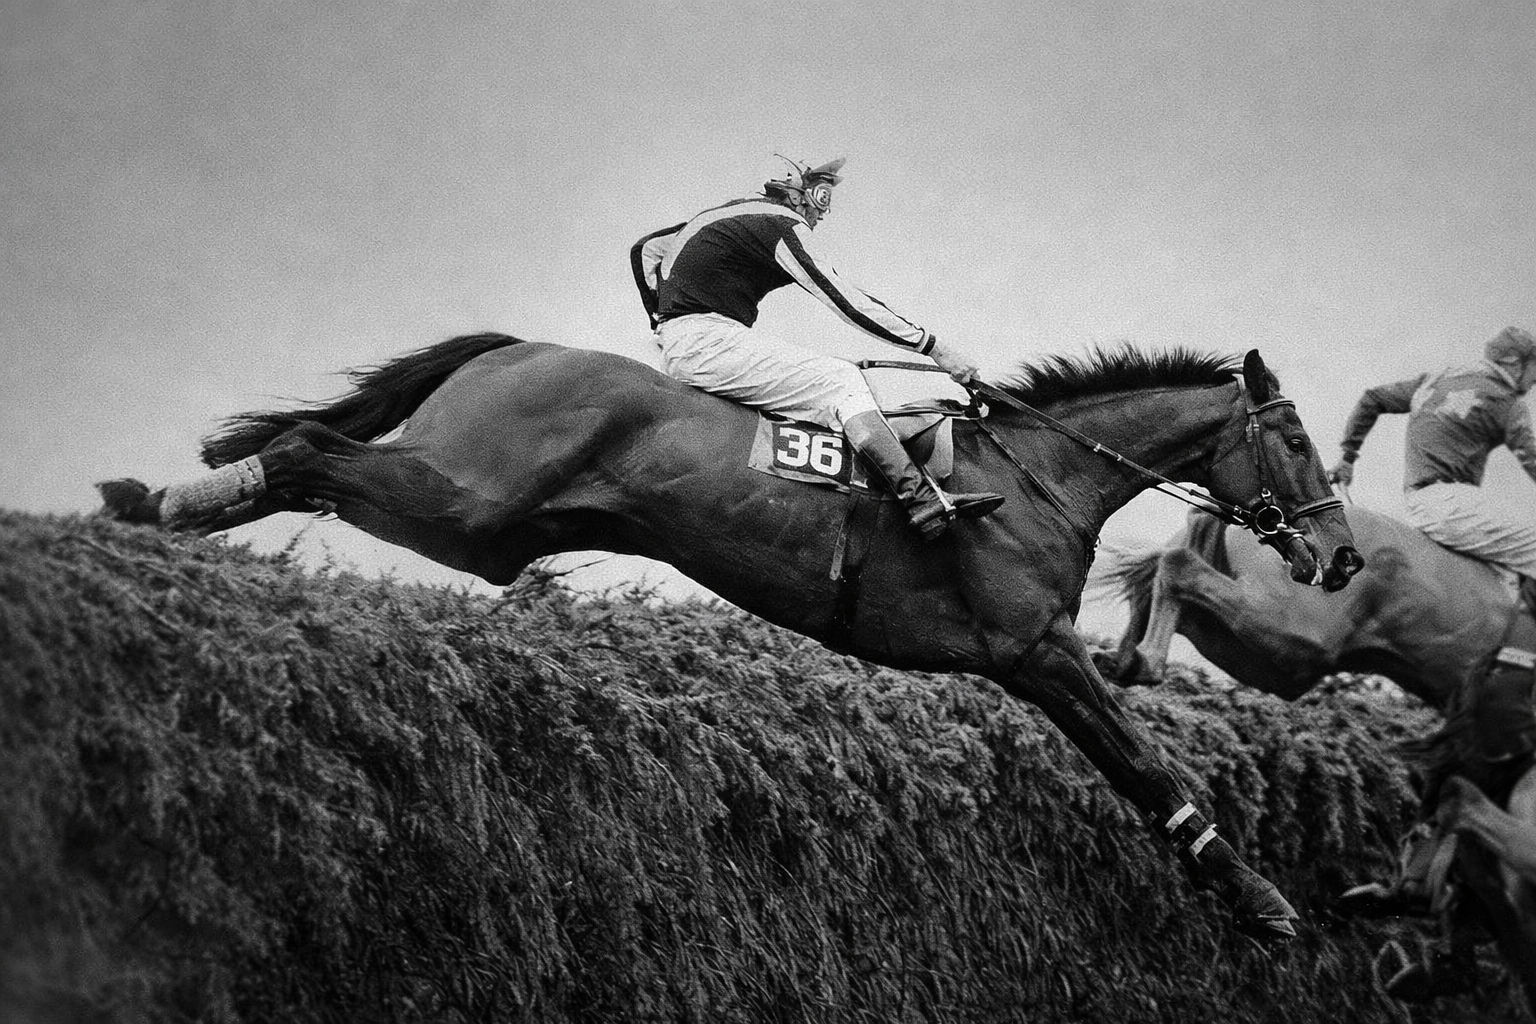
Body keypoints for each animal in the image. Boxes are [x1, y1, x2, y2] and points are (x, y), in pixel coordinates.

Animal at [96, 333, 1362, 944]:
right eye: (1299, 439)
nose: (1344, 556)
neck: (1041, 475)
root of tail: (508, 350)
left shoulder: (1041, 659)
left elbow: (1141, 748)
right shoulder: (1036, 651)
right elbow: (1151, 770)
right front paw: (1264, 899)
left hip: (484, 527)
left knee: (309, 460)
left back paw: (150, 509)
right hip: (465, 496)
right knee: (306, 446)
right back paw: (149, 508)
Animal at [1091, 505, 1525, 709]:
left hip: (1258, 653)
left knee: (1156, 577)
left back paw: (1120, 661)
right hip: (1294, 635)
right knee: (1176, 564)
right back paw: (1141, 662)